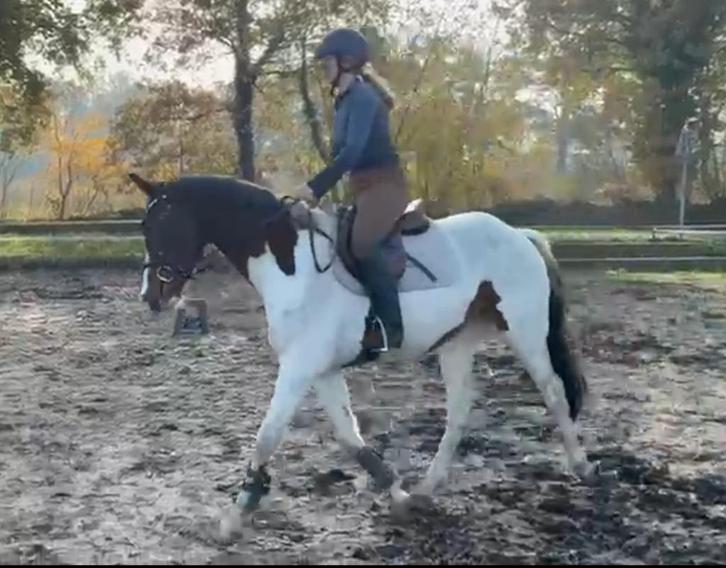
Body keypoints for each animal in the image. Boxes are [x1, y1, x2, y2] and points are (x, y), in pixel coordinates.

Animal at [130, 171, 595, 512]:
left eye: (162, 224)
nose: (151, 295)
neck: (292, 267)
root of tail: (519, 235)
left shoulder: (299, 366)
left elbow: (268, 435)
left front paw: (238, 512)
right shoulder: (321, 370)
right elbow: (350, 437)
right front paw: (396, 489)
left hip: (525, 333)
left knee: (553, 392)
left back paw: (581, 465)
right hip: (456, 343)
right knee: (460, 411)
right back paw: (427, 486)